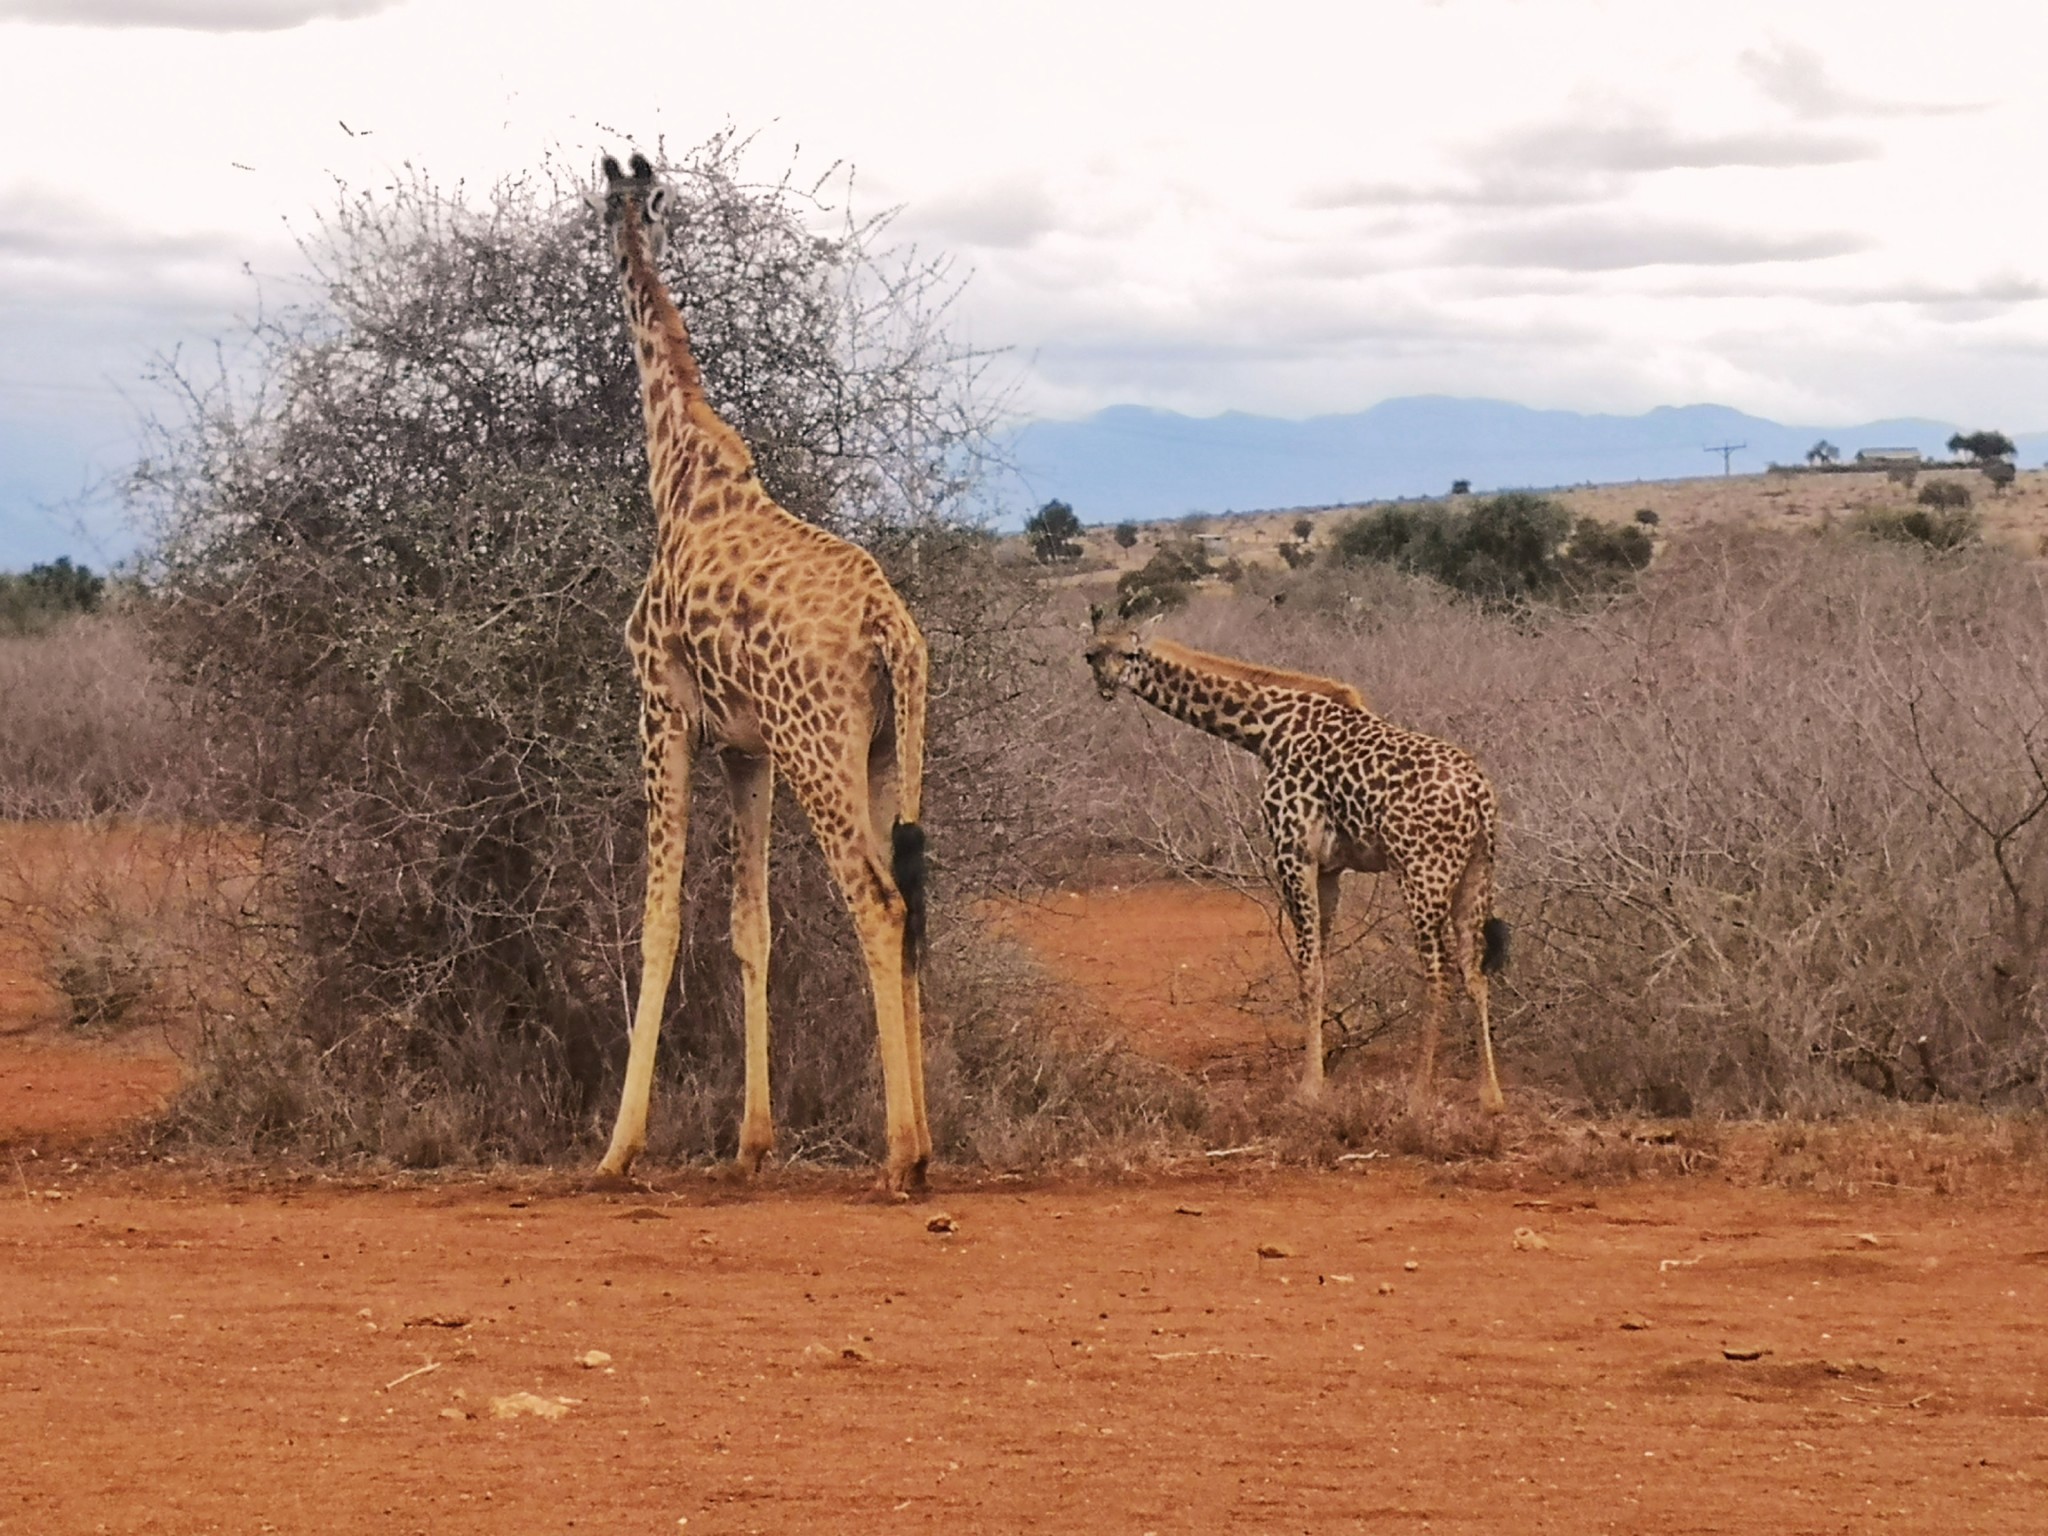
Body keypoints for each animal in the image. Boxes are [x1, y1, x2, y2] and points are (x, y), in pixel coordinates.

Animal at [593, 153, 937, 1187]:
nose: (627, 223)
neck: (677, 474)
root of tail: (889, 629)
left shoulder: (660, 711)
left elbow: (659, 920)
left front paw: (617, 1150)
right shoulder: (743, 748)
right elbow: (752, 928)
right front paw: (751, 1145)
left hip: (818, 746)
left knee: (876, 902)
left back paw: (900, 1159)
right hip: (883, 748)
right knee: (911, 896)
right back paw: (926, 1145)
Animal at [1089, 614, 1507, 1122]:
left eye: (1130, 653)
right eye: (1092, 653)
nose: (1107, 685)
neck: (1269, 730)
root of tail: (1480, 795)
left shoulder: (1292, 852)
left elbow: (1308, 971)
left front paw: (1309, 1088)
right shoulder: (1329, 868)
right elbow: (1322, 966)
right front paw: (1316, 1075)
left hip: (1423, 872)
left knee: (1439, 971)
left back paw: (1418, 1093)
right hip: (1476, 872)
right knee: (1475, 971)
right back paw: (1490, 1094)